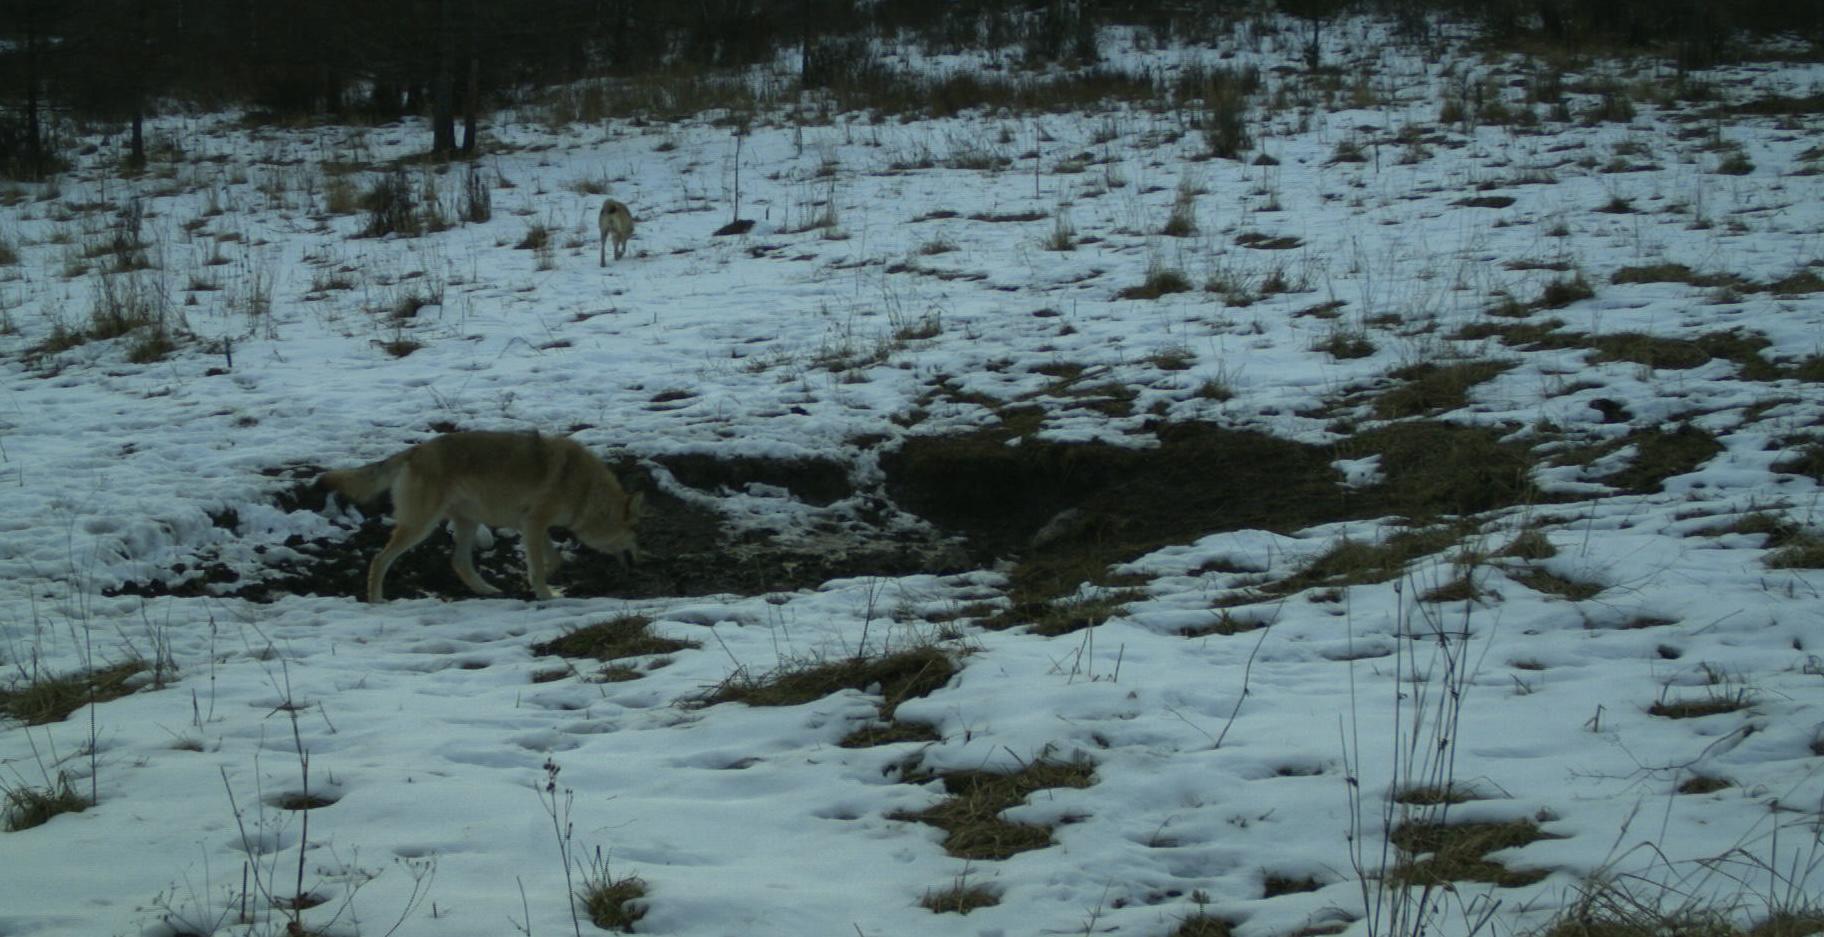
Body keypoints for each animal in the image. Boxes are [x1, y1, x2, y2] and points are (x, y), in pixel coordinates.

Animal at [317, 428, 645, 601]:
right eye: (636, 532)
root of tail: (415, 452)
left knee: (459, 563)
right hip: (421, 526)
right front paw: (544, 594)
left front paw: (538, 584)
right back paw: (377, 601)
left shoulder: (531, 525)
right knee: (379, 559)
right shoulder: (534, 523)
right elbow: (541, 566)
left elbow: (552, 560)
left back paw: (490, 591)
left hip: (468, 522)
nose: (642, 561)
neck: (586, 491)